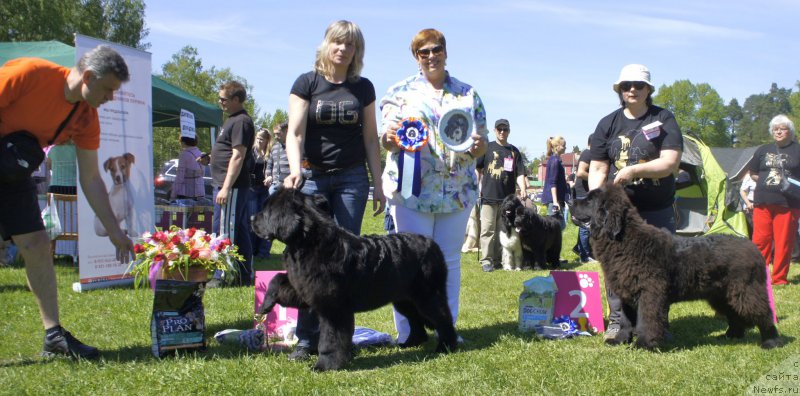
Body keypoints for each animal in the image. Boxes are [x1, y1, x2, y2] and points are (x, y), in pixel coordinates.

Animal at [253, 189, 460, 372]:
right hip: (404, 299)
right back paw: (410, 343)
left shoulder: (333, 308)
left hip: (427, 296)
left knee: (443, 318)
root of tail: (432, 244)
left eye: (266, 212)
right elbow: (278, 279)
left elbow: (330, 339)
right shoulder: (304, 287)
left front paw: (324, 366)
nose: (252, 220)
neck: (307, 242)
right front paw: (265, 306)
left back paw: (446, 346)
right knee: (415, 319)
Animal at [572, 183, 784, 350]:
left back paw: (771, 341)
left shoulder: (649, 293)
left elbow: (645, 320)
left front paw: (643, 344)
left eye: (590, 201)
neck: (624, 240)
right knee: (735, 315)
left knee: (763, 313)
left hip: (745, 291)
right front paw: (619, 341)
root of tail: (752, 246)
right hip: (721, 295)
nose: (571, 201)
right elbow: (626, 321)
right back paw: (730, 335)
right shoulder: (627, 294)